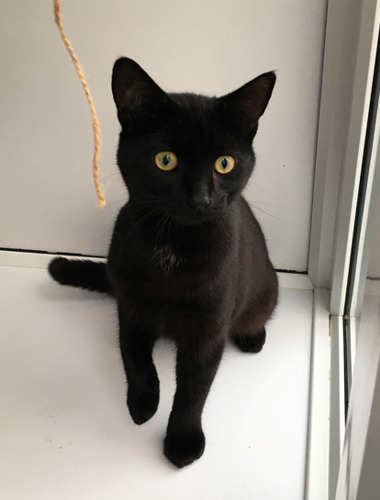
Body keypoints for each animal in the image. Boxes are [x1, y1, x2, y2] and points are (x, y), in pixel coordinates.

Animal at [49, 58, 278, 468]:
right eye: (166, 160)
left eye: (225, 163)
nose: (201, 198)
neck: (174, 245)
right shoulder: (131, 306)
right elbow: (133, 356)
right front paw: (142, 403)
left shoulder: (209, 329)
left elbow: (193, 390)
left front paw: (183, 440)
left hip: (264, 291)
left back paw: (253, 335)